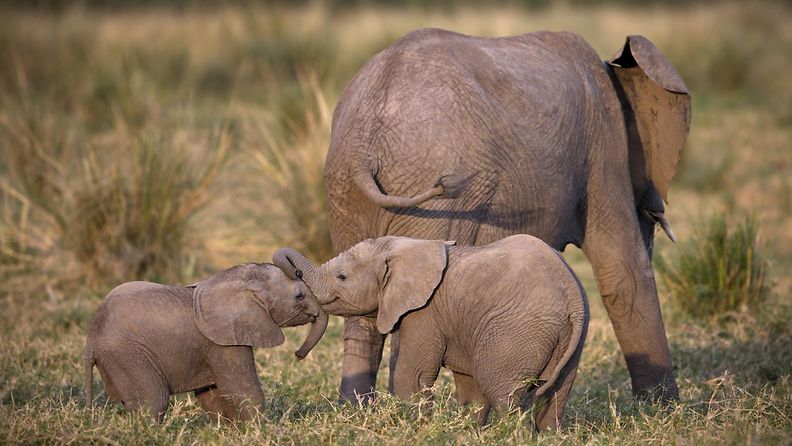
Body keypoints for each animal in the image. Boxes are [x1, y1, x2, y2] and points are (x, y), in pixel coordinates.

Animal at [82, 264, 326, 424]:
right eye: (299, 296)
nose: (298, 354)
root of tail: (92, 336)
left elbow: (211, 395)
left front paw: (228, 430)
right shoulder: (223, 340)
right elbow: (243, 389)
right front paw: (262, 430)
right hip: (128, 354)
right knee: (155, 399)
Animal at [272, 235, 588, 430]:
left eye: (342, 277)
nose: (298, 354)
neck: (404, 247)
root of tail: (572, 295)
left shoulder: (424, 313)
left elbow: (412, 374)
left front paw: (416, 429)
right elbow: (468, 383)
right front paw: (467, 431)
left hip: (517, 329)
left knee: (502, 390)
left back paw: (513, 434)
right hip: (569, 336)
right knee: (555, 394)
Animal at [318, 29, 688, 402]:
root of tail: (364, 141)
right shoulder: (605, 150)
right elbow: (623, 272)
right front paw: (662, 408)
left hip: (345, 186)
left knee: (362, 310)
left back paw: (360, 407)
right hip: (435, 190)